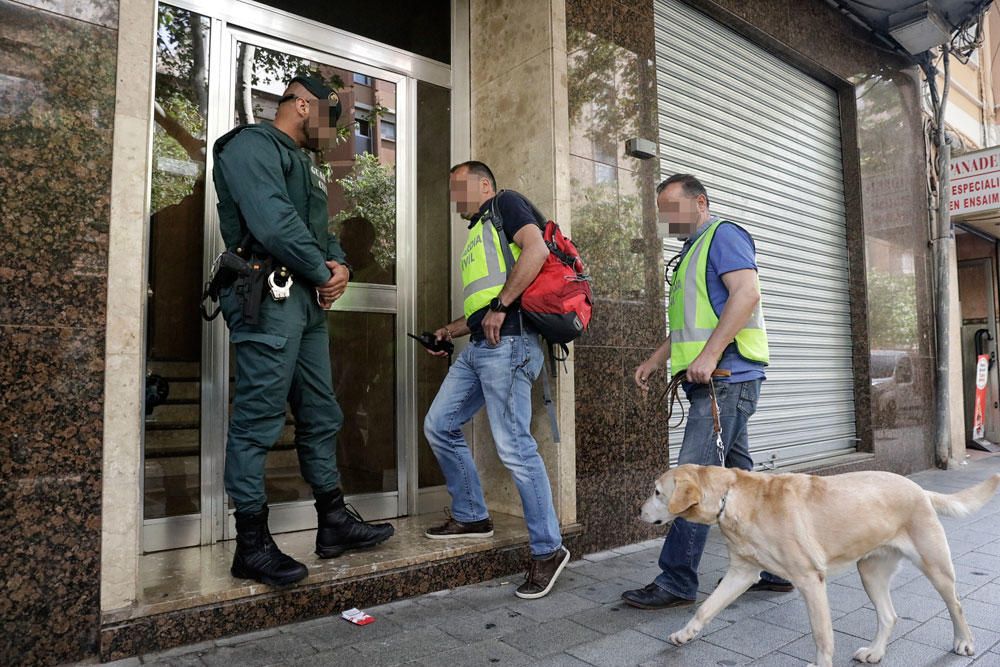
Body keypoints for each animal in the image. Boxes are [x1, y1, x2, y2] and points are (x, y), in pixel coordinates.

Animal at [640, 464, 1000, 667]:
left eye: (656, 491)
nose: (639, 512)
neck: (731, 496)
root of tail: (920, 489)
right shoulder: (741, 572)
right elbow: (706, 609)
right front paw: (684, 634)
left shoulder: (810, 580)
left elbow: (822, 634)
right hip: (870, 572)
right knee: (889, 615)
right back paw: (875, 653)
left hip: (935, 565)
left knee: (956, 604)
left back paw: (964, 642)